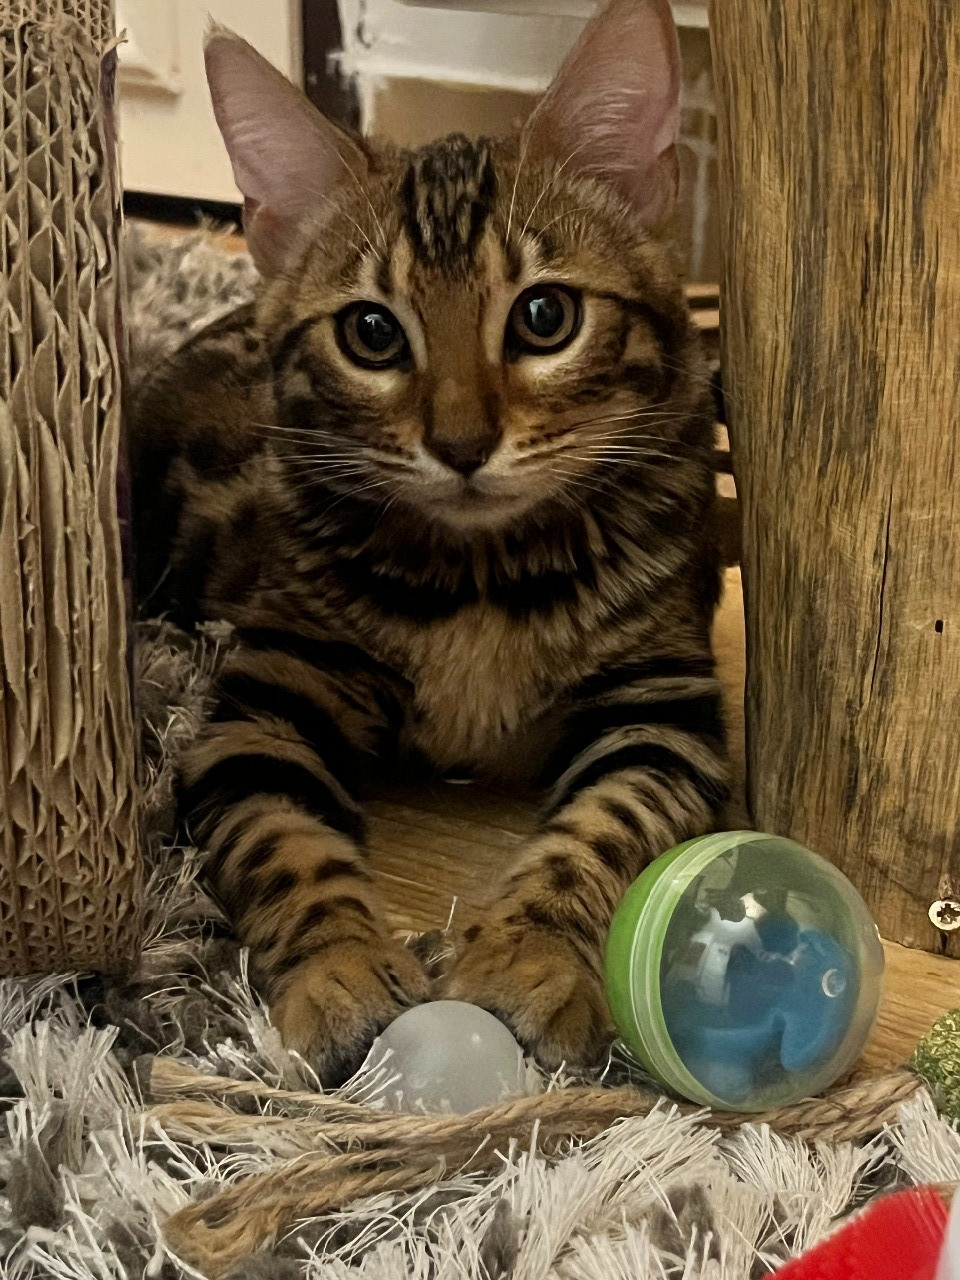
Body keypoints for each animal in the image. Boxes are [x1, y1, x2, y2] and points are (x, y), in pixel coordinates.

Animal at [129, 0, 729, 1085]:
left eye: (546, 315)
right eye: (371, 333)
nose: (459, 444)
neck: (482, 572)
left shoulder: (662, 705)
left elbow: (605, 826)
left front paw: (531, 950)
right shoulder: (261, 708)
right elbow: (285, 837)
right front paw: (339, 965)